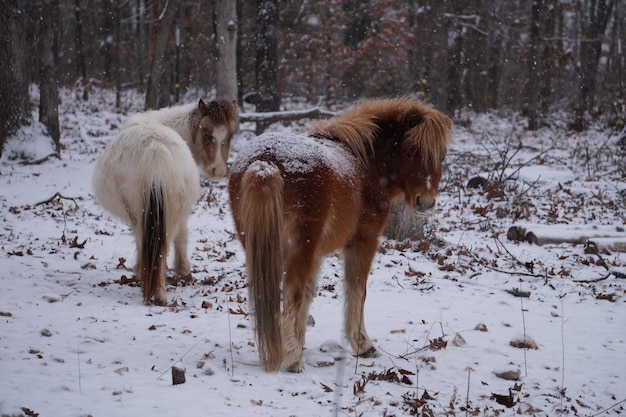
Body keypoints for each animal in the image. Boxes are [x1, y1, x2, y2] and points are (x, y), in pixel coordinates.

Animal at [92, 99, 236, 304]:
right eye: (207, 133)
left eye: (229, 135)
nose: (218, 171)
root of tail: (155, 149)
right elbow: (182, 236)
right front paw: (184, 271)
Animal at [227, 96, 450, 370]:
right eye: (409, 152)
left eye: (442, 156)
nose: (425, 203)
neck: (366, 165)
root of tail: (263, 164)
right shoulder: (363, 241)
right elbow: (357, 290)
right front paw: (362, 344)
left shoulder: (317, 253)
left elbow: (309, 294)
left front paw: (300, 340)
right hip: (300, 245)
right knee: (291, 292)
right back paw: (293, 360)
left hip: (262, 247)